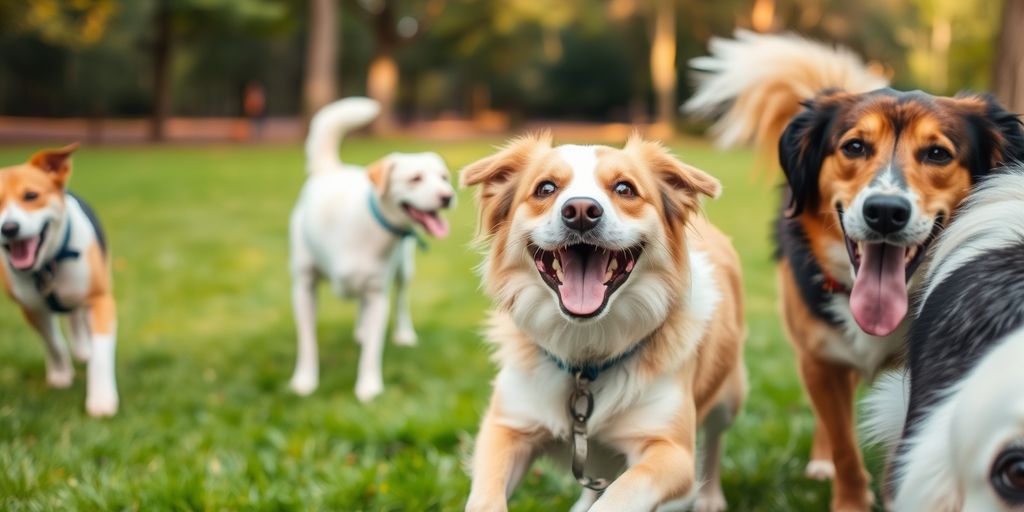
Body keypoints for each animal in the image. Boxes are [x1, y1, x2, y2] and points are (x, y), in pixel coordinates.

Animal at [0, 143, 117, 415]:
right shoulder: (31, 308)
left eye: (31, 196)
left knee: (78, 318)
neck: (47, 265)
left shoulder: (100, 299)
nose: (9, 228)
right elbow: (52, 341)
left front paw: (102, 399)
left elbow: (101, 351)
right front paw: (61, 374)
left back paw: (84, 349)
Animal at [284, 96, 452, 399]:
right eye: (415, 179)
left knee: (401, 301)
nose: (448, 196)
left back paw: (402, 334)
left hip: (404, 270)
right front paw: (304, 380)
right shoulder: (304, 286)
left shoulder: (377, 294)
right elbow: (307, 341)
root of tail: (332, 170)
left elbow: (373, 350)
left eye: (444, 177)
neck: (369, 229)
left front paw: (369, 387)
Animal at [462, 134, 745, 512]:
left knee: (714, 440)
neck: (586, 356)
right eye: (545, 188)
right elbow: (485, 498)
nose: (581, 211)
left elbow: (621, 494)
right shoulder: (506, 428)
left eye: (625, 188)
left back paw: (711, 498)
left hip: (729, 396)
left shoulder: (672, 454)